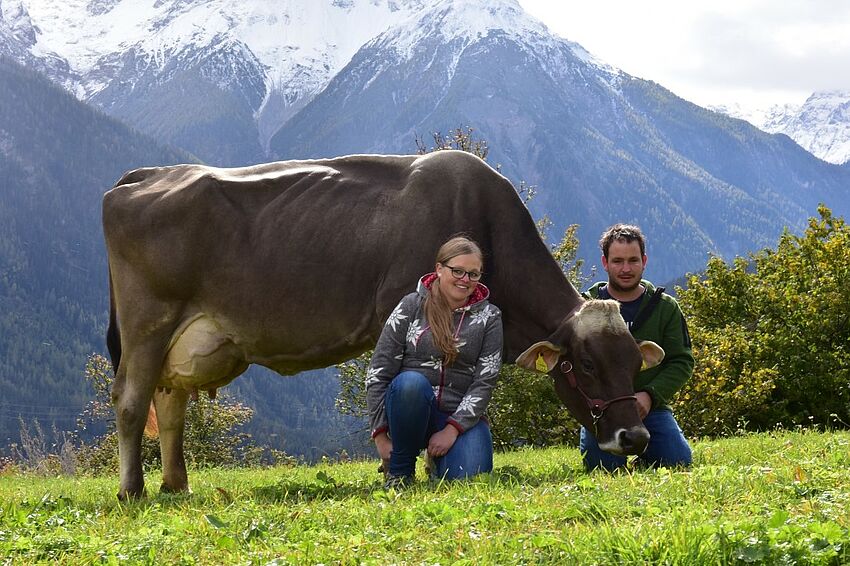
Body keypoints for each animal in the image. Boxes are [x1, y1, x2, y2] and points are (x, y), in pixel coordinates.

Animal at [104, 151, 664, 502]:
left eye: (634, 363)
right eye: (585, 364)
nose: (635, 436)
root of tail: (145, 175)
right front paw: (397, 467)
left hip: (182, 340)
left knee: (169, 404)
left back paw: (177, 484)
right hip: (147, 322)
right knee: (132, 401)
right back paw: (132, 490)